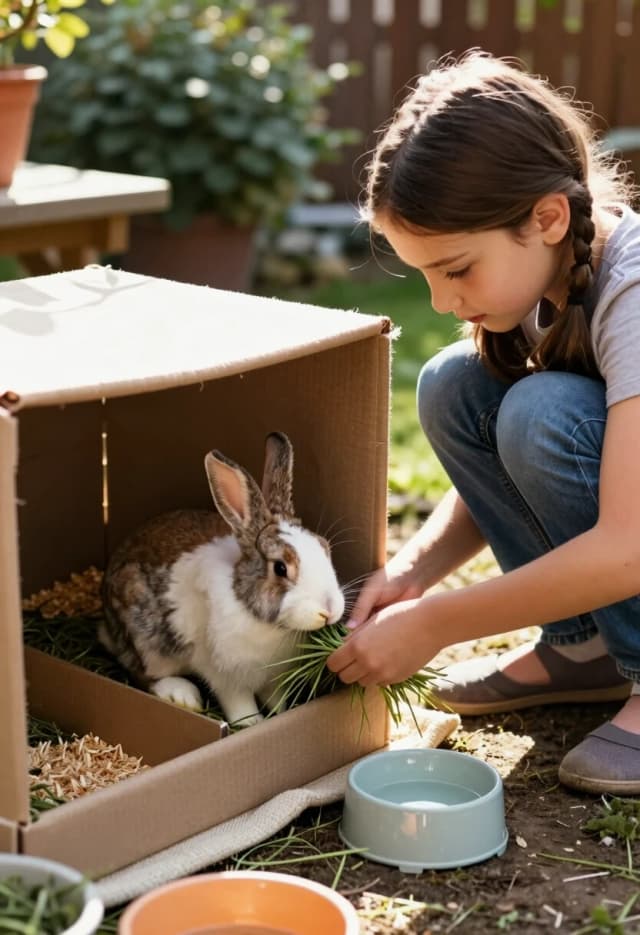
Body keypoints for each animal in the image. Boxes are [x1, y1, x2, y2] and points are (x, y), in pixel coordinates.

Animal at [99, 431, 345, 727]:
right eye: (280, 568)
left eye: (325, 547)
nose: (329, 611)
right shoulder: (225, 676)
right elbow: (239, 704)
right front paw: (253, 724)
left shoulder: (274, 679)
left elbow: (276, 699)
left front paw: (281, 713)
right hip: (147, 640)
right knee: (143, 675)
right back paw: (183, 696)